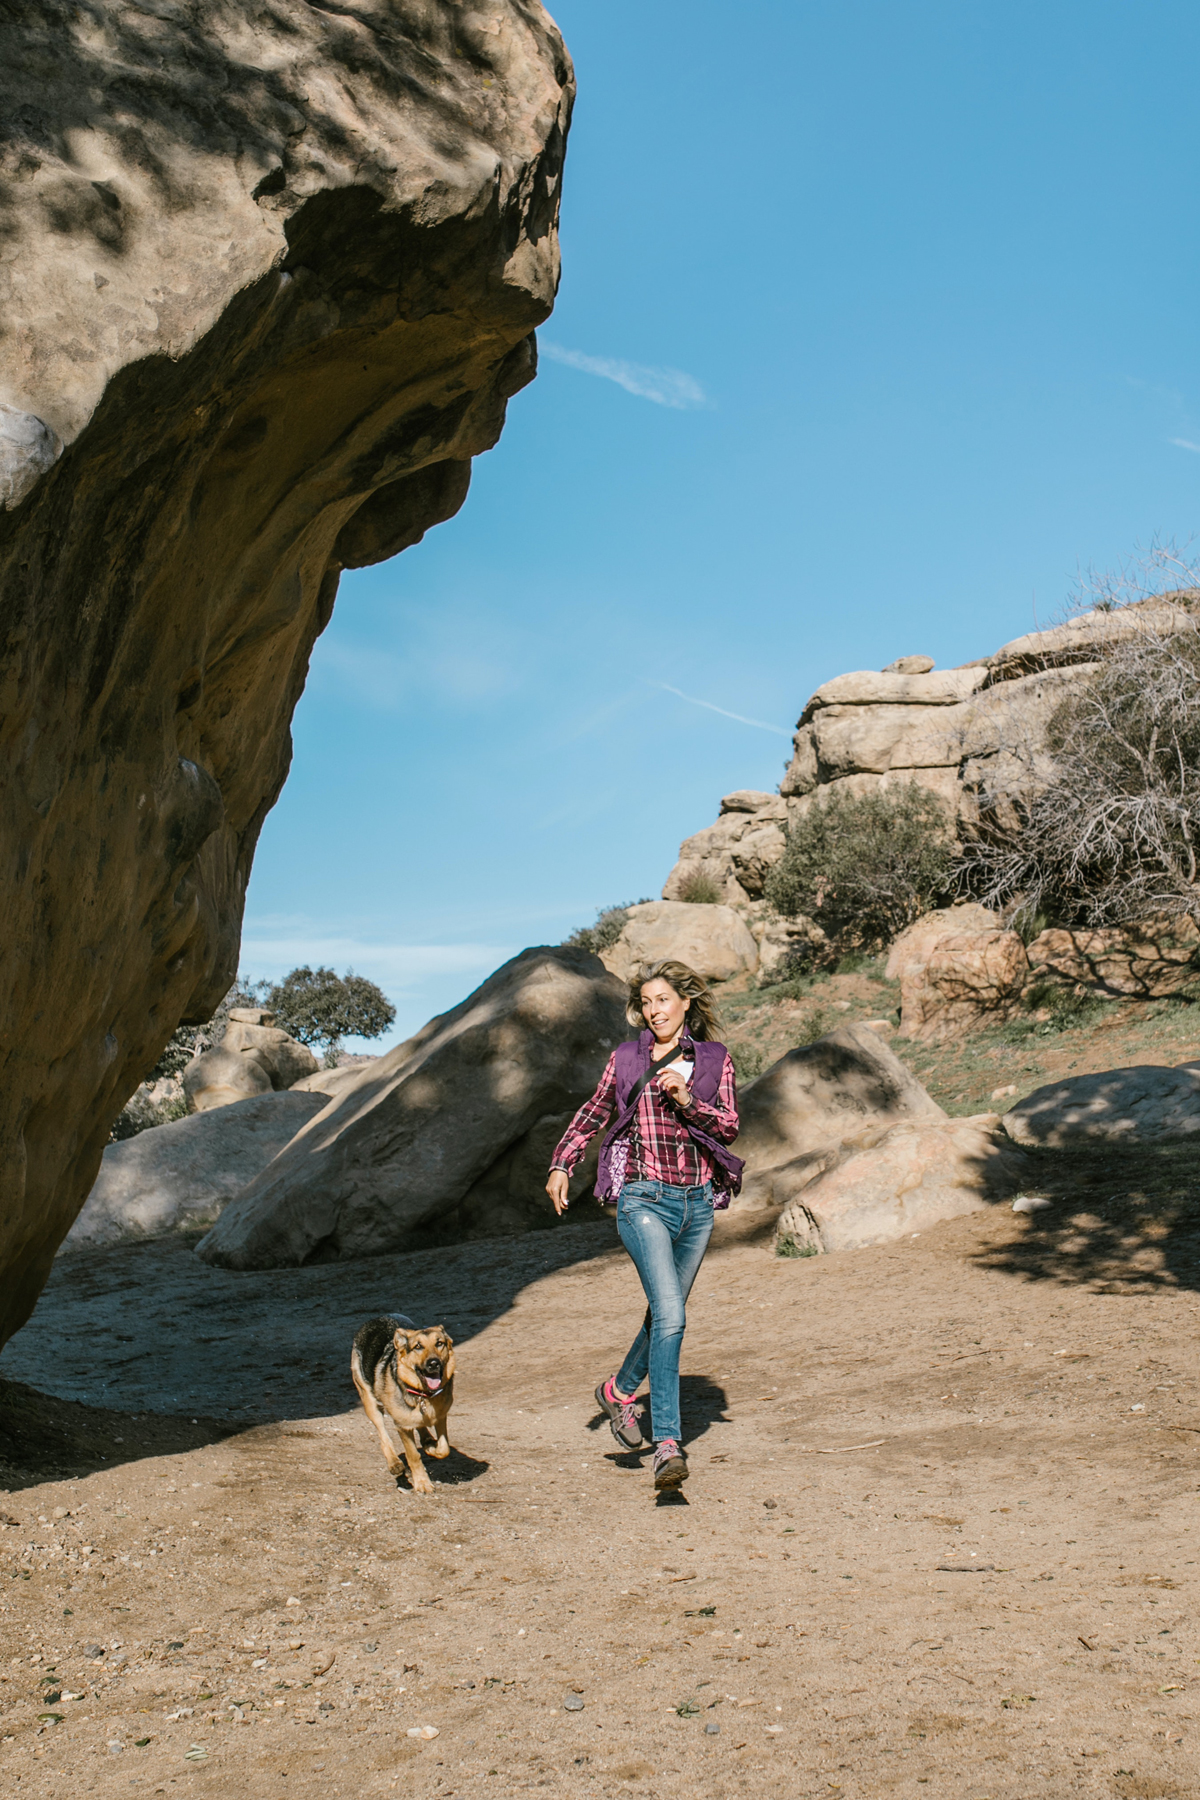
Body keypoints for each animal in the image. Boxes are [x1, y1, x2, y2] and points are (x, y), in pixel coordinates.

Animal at [354, 1310, 456, 1490]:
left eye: (439, 1343)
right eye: (418, 1347)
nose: (434, 1363)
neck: (423, 1395)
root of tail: (376, 1318)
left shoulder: (441, 1416)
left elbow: (444, 1449)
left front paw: (433, 1448)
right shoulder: (402, 1426)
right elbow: (413, 1455)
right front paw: (422, 1483)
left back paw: (428, 1440)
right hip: (370, 1402)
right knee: (383, 1436)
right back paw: (394, 1463)